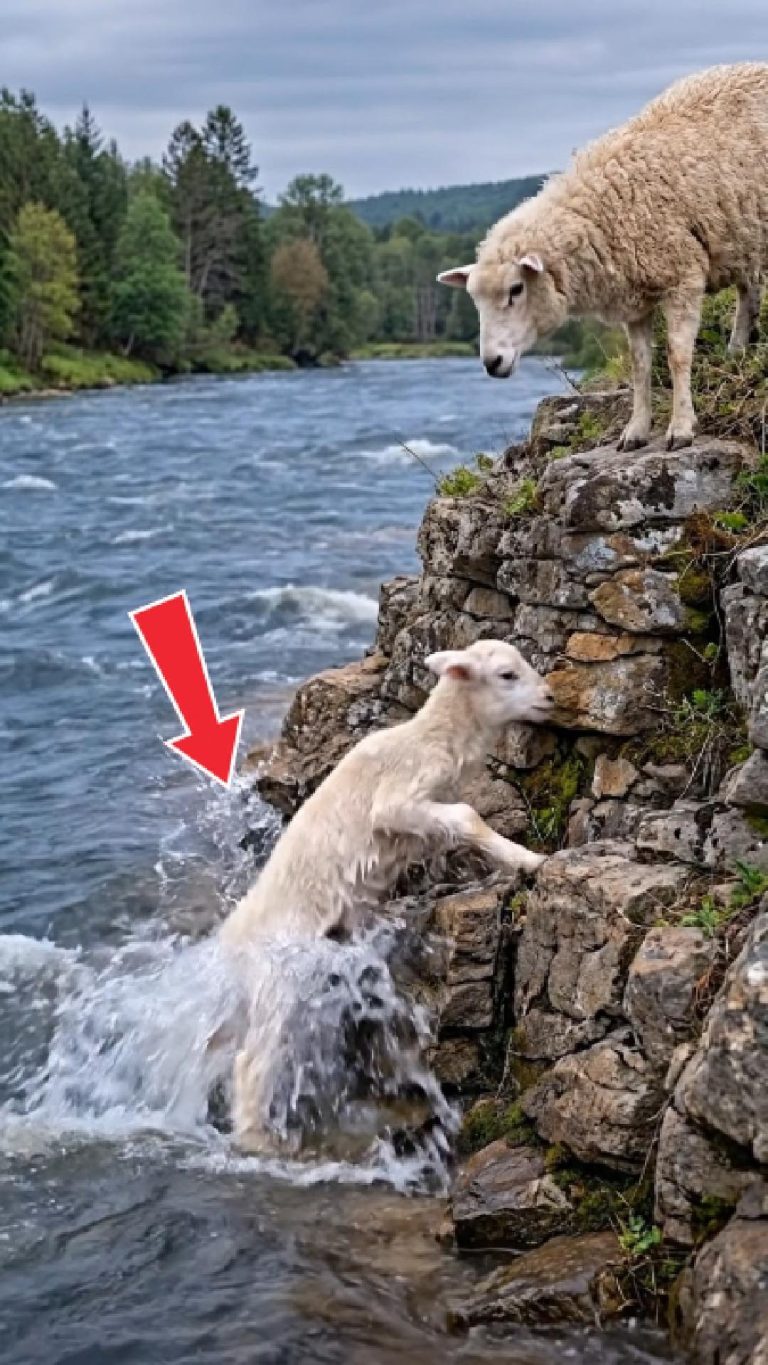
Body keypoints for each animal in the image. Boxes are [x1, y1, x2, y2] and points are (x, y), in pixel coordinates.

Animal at [219, 638, 554, 1146]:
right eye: (506, 675)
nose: (551, 696)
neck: (430, 739)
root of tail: (229, 946)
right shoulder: (398, 800)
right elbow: (468, 815)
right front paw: (529, 859)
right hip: (279, 980)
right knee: (250, 1063)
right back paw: (257, 1139)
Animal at [438, 63, 768, 452]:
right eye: (474, 300)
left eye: (516, 289)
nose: (492, 363)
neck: (602, 209)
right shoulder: (636, 299)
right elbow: (641, 364)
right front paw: (636, 430)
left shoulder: (682, 277)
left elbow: (677, 356)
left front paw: (681, 427)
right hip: (745, 236)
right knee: (749, 290)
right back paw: (737, 351)